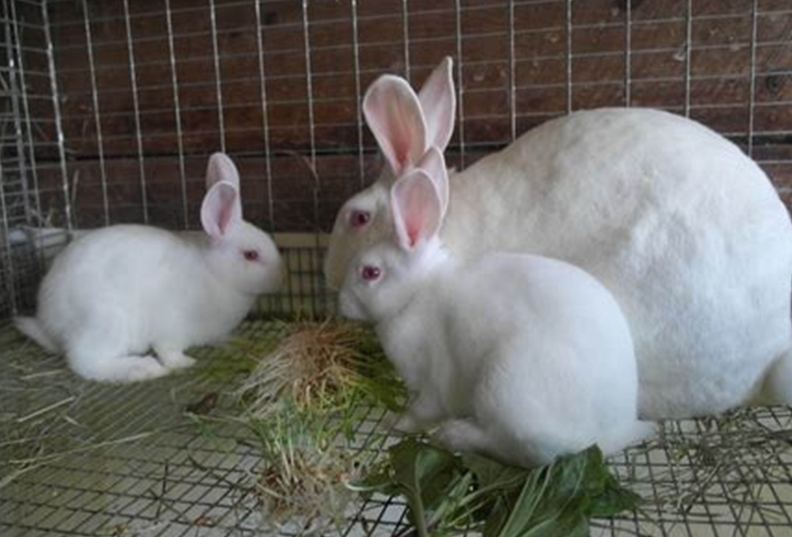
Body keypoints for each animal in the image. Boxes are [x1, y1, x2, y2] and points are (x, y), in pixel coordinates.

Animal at [14, 153, 283, 383]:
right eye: (251, 255)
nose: (281, 277)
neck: (215, 273)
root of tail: (47, 322)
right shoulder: (171, 328)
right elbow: (169, 351)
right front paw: (185, 363)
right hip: (107, 322)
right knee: (84, 360)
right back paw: (142, 369)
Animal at [338, 152, 653, 467]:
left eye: (370, 272)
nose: (340, 301)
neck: (417, 291)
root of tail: (614, 431)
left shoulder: (429, 381)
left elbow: (420, 412)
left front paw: (394, 422)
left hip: (503, 389)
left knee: (513, 446)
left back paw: (454, 435)